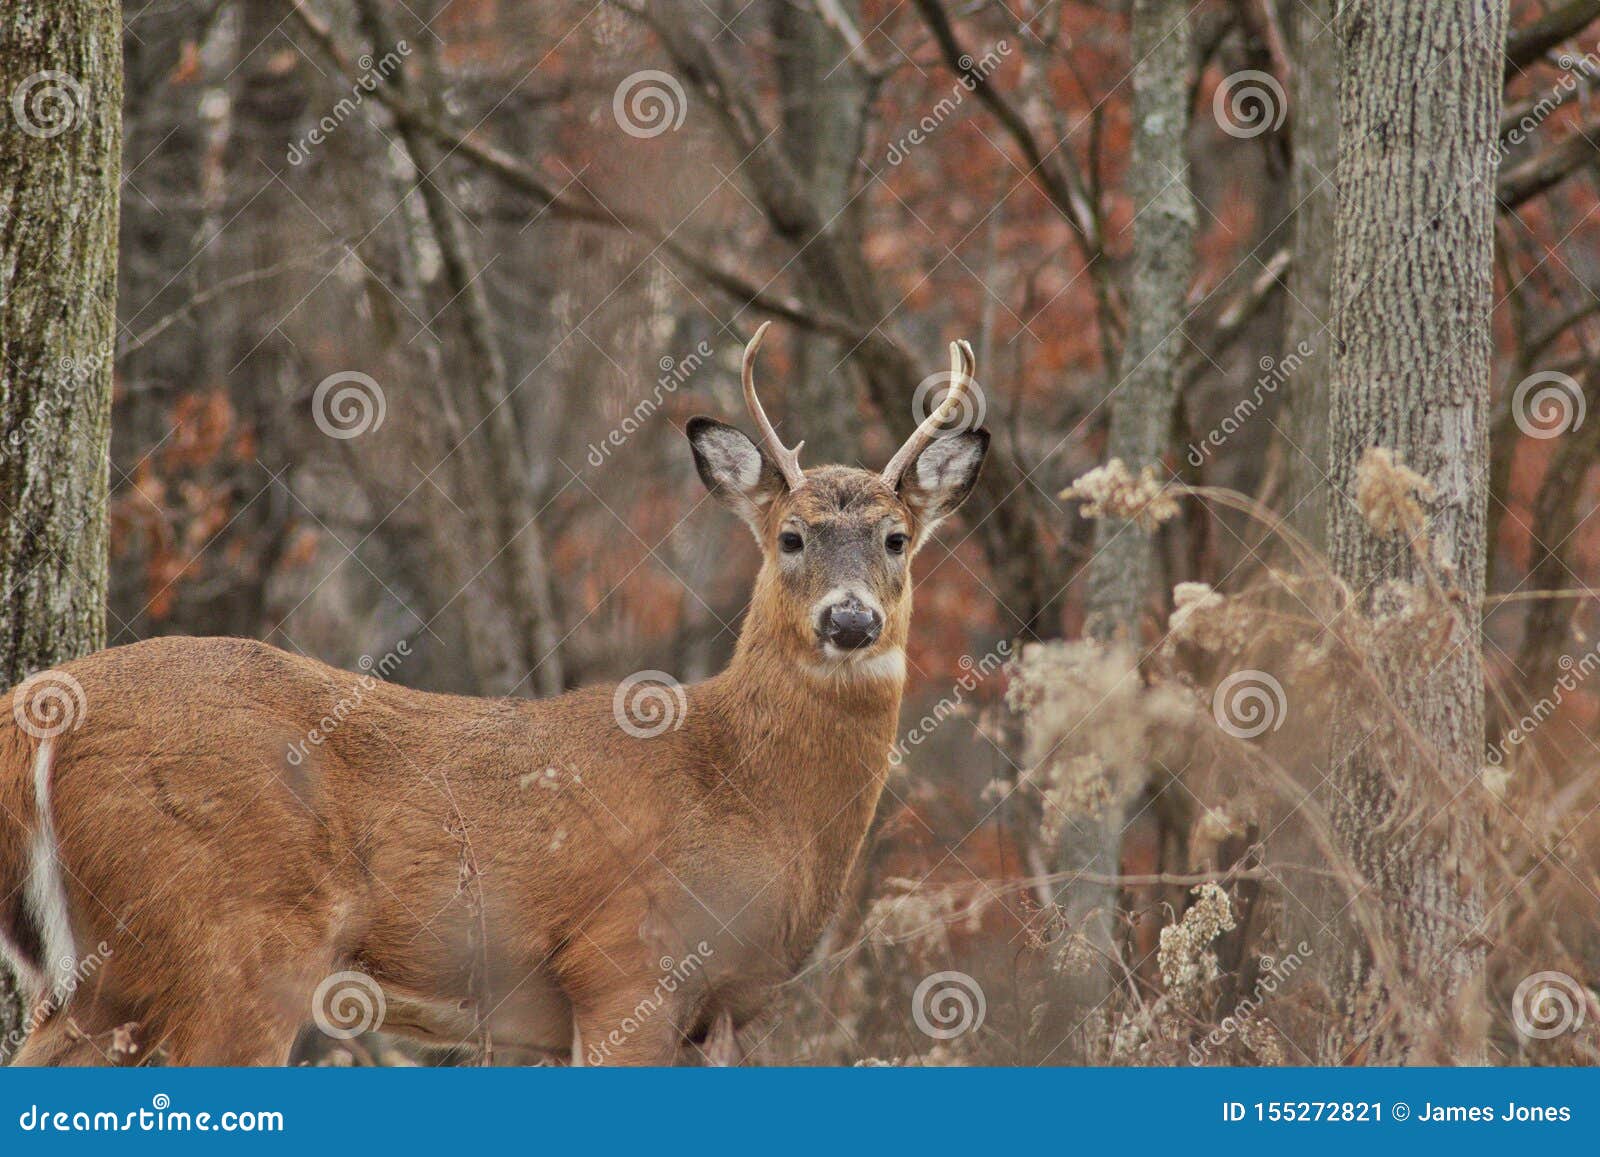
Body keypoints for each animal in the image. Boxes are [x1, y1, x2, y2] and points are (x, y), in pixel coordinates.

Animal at [0, 323, 988, 1066]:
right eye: (790, 535)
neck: (748, 791)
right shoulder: (623, 960)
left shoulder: (712, 1020)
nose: (850, 618)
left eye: (897, 538)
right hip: (231, 942)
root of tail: (34, 710)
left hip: (105, 975)